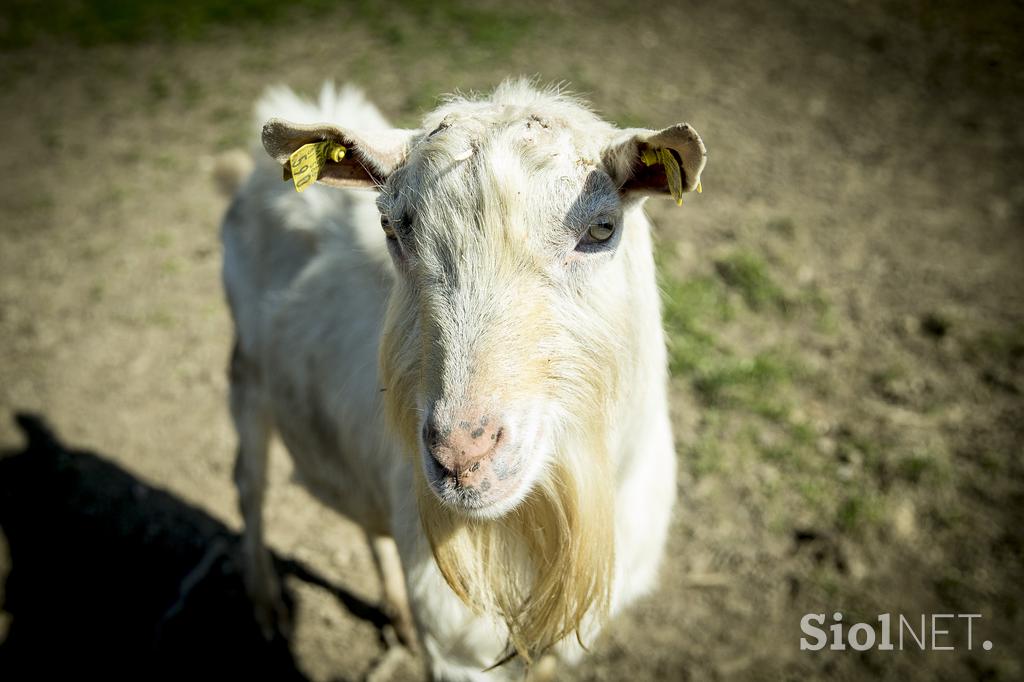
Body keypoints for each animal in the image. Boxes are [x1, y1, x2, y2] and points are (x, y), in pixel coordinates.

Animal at [221, 78, 708, 675]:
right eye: (390, 226)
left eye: (601, 229)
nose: (462, 453)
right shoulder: (457, 646)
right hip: (244, 370)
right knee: (249, 482)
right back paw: (267, 606)